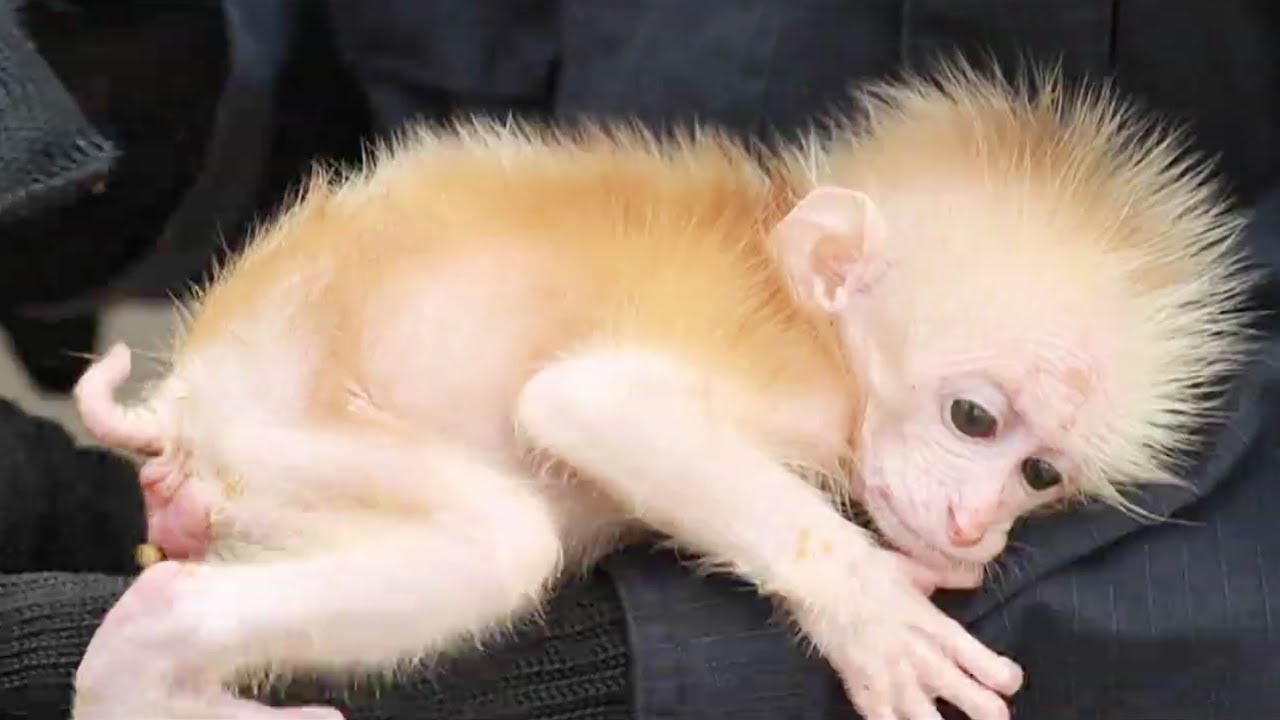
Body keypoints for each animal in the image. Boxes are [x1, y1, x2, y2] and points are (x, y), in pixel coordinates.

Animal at [67, 64, 1256, 720]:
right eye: (975, 418)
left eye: (1041, 474)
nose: (975, 526)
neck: (807, 313)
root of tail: (196, 389)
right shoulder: (788, 384)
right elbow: (593, 404)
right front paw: (867, 604)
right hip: (275, 432)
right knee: (500, 543)